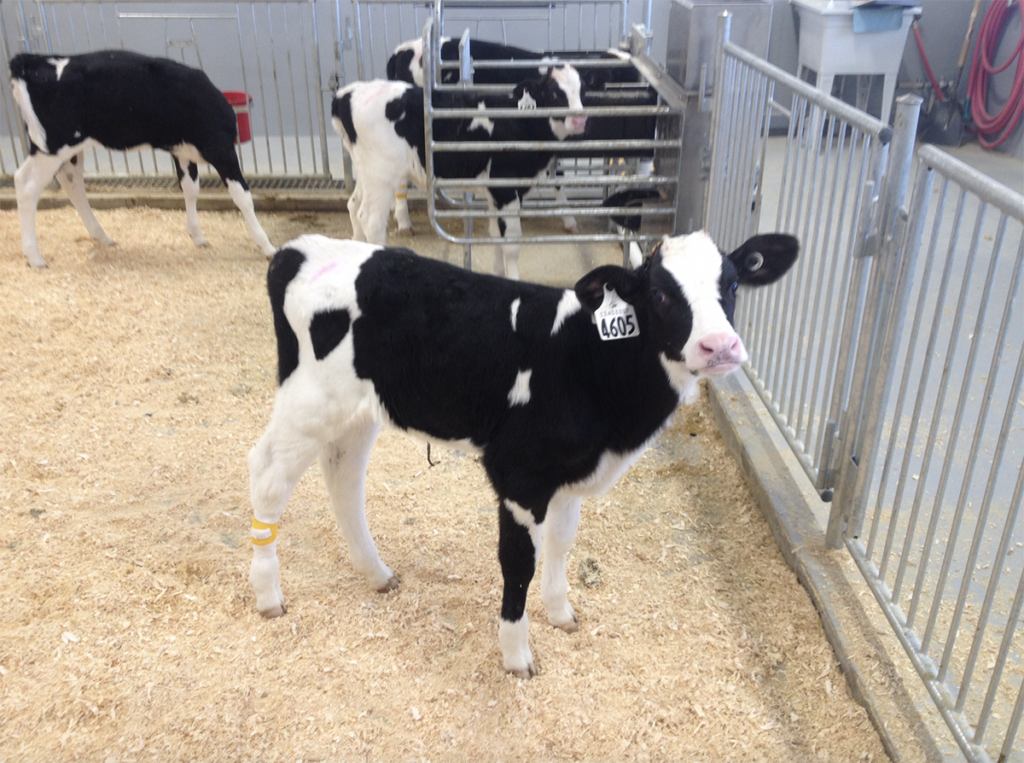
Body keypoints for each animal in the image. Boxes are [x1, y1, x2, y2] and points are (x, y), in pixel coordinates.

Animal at [9, 48, 274, 268]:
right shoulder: (220, 148)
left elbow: (190, 189)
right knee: (26, 184)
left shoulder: (182, 152)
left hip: (61, 148)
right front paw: (267, 246)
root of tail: (32, 60)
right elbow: (242, 196)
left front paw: (197, 236)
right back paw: (35, 257)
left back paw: (102, 237)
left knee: (71, 181)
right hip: (54, 145)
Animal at [247, 229, 798, 675]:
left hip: (359, 410)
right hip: (308, 402)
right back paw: (269, 595)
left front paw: (561, 613)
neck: (592, 362)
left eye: (732, 285)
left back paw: (377, 574)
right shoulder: (518, 473)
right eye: (660, 293)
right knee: (267, 478)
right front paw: (517, 654)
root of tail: (299, 250)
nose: (719, 345)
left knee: (343, 479)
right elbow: (518, 562)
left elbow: (561, 542)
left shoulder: (571, 473)